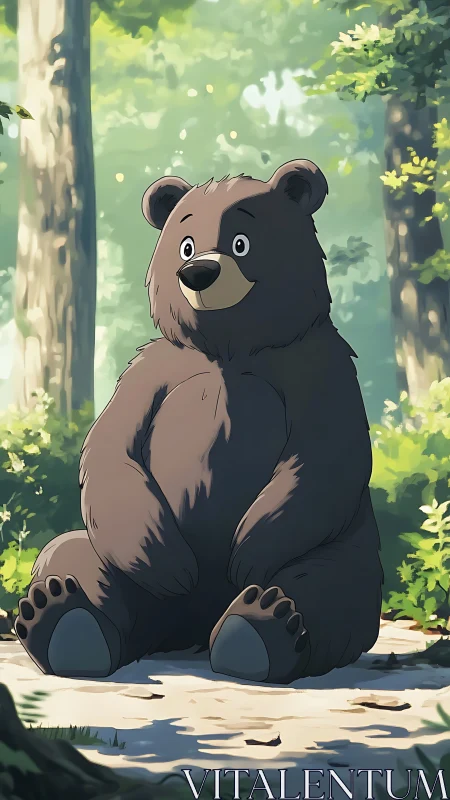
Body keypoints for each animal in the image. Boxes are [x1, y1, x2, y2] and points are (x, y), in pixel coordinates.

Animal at [15, 159, 383, 684]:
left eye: (241, 241)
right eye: (185, 242)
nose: (198, 271)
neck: (228, 348)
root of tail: (188, 630)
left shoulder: (316, 365)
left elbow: (324, 455)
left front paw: (247, 553)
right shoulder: (153, 372)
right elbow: (111, 449)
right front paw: (169, 564)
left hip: (347, 552)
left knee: (329, 588)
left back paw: (260, 625)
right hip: (119, 572)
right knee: (73, 555)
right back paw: (64, 617)